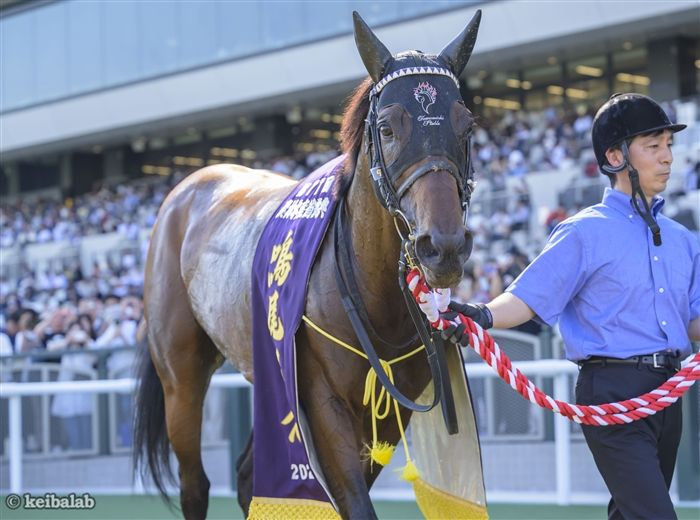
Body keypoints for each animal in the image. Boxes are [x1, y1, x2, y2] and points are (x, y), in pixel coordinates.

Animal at [134, 10, 481, 520]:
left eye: (465, 127)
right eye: (388, 128)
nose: (444, 246)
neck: (371, 296)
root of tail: (186, 187)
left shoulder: (384, 413)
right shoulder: (322, 401)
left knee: (246, 474)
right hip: (181, 375)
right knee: (195, 483)